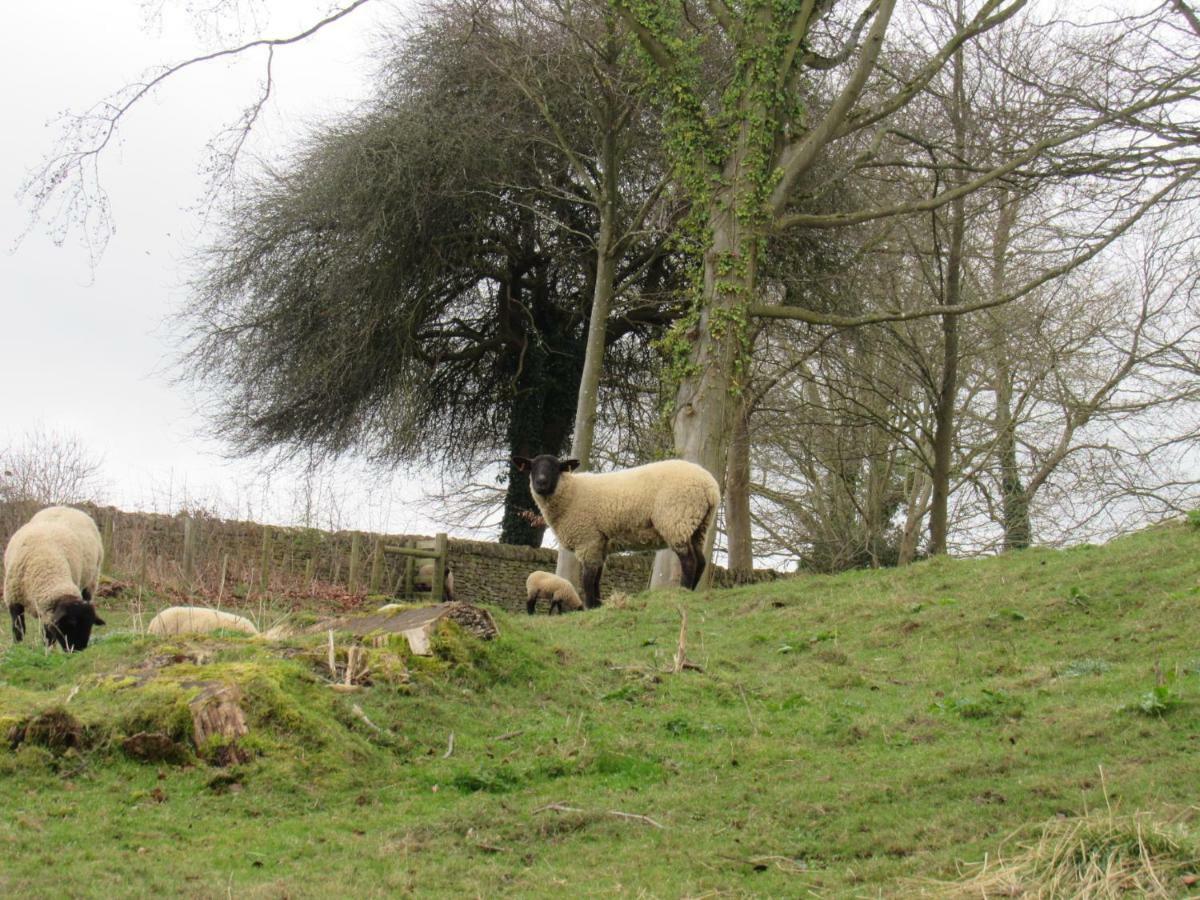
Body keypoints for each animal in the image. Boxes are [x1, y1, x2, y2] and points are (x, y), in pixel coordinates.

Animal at [3, 504, 107, 652]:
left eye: (90, 625)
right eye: (71, 623)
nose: (79, 650)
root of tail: (67, 507)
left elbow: (47, 633)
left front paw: (48, 650)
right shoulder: (14, 598)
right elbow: (18, 629)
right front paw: (18, 648)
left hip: (91, 581)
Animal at [508, 453, 715, 609]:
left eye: (555, 467)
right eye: (533, 467)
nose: (540, 483)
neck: (570, 493)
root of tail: (711, 487)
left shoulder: (588, 539)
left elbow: (587, 579)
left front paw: (590, 607)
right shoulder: (600, 543)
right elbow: (596, 578)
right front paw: (598, 606)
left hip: (676, 520)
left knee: (689, 561)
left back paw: (684, 591)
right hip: (697, 526)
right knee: (701, 561)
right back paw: (692, 591)